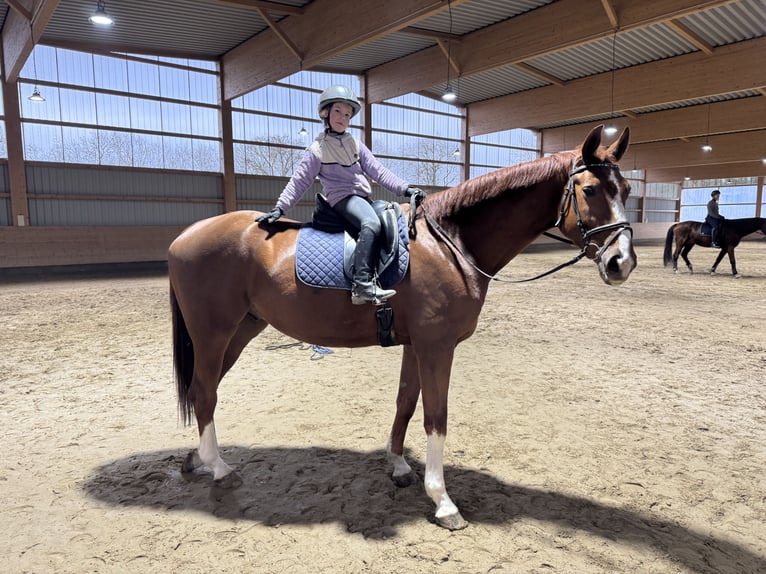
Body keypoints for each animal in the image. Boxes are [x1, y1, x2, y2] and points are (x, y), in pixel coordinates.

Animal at [167, 124, 636, 530]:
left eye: (628, 190)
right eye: (590, 189)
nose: (622, 262)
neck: (450, 244)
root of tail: (184, 236)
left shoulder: (416, 344)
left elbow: (406, 403)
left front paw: (397, 464)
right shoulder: (437, 346)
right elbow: (436, 417)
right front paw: (443, 501)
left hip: (240, 331)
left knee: (203, 390)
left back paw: (198, 460)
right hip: (214, 332)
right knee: (205, 391)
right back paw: (220, 469)